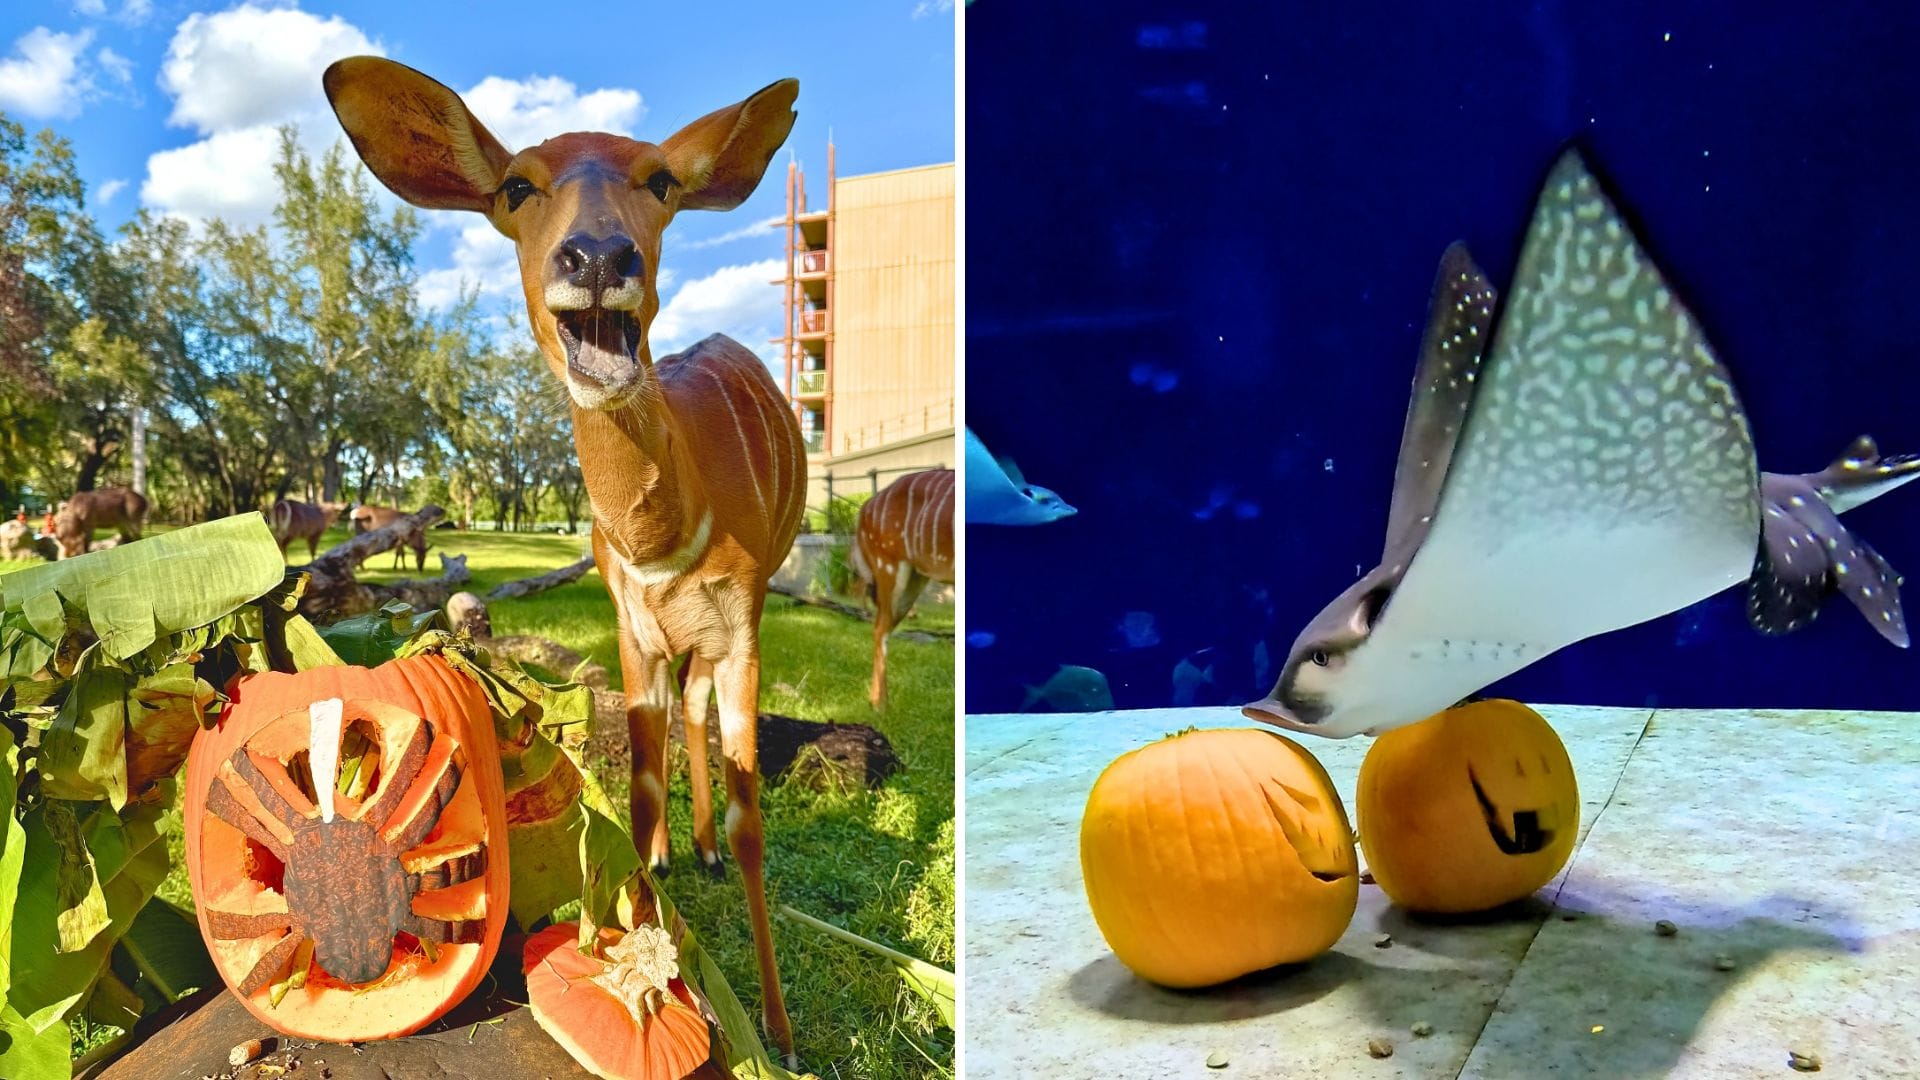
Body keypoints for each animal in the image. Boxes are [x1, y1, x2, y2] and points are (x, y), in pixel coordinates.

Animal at [325, 57, 806, 1062]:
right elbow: (639, 788)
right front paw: (642, 923)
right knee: (684, 718)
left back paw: (703, 853)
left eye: (660, 180)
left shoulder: (743, 619)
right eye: (516, 187)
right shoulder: (632, 624)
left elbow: (753, 822)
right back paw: (679, 854)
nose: (597, 260)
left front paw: (781, 1035)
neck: (668, 529)